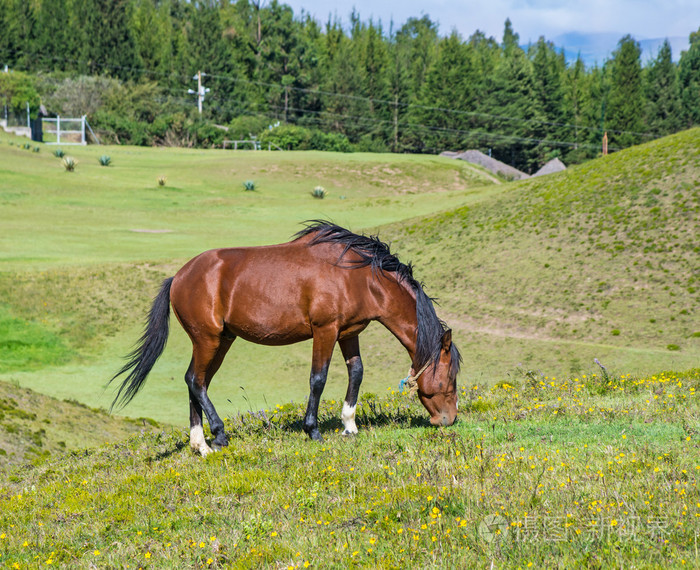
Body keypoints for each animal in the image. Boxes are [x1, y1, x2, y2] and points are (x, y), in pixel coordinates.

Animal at [110, 220, 461, 455]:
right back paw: (218, 436)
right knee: (195, 381)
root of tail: (179, 277)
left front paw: (349, 425)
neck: (359, 277)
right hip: (207, 339)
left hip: (222, 341)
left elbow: (357, 373)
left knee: (196, 382)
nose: (448, 419)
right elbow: (318, 379)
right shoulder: (325, 331)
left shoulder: (349, 334)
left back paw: (201, 444)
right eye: (449, 378)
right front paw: (313, 430)